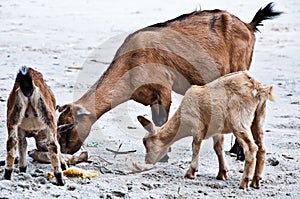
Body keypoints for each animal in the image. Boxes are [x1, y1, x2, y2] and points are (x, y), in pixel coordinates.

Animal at [56, 2, 282, 154]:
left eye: (69, 127)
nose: (65, 151)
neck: (130, 62)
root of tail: (248, 25)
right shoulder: (150, 97)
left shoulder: (164, 89)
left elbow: (160, 120)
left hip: (240, 68)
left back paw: (240, 152)